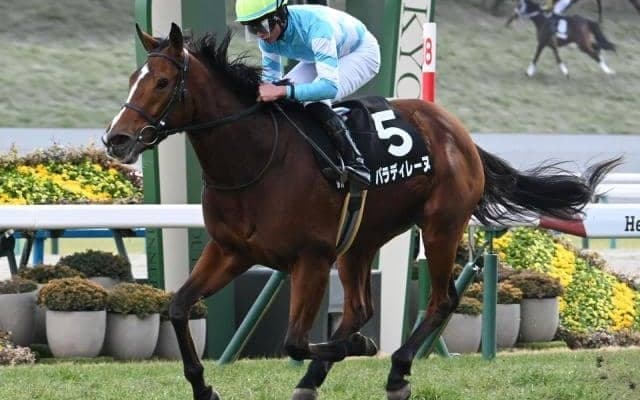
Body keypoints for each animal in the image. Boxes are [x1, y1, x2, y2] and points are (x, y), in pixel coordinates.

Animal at [102, 23, 621, 400]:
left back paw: (395, 371)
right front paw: (203, 386)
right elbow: (178, 306)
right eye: (131, 79)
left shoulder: (310, 258)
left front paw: (363, 347)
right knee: (359, 308)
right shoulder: (231, 250)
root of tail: (461, 134)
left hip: (441, 225)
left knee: (440, 300)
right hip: (360, 241)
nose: (116, 139)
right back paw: (314, 378)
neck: (256, 160)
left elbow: (294, 339)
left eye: (163, 82)